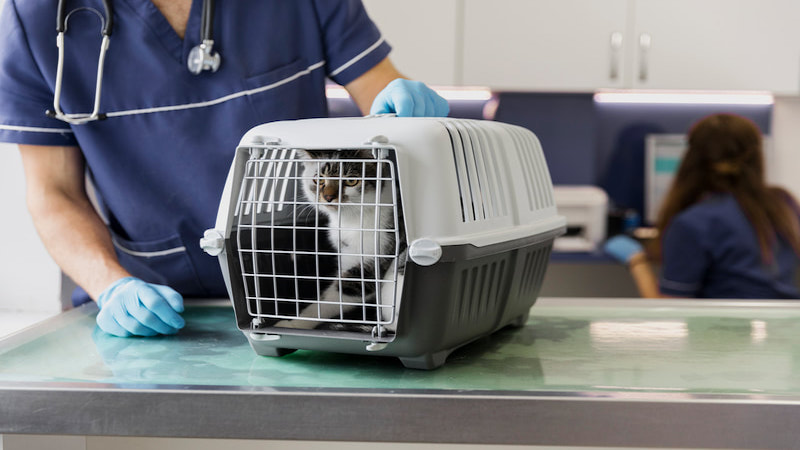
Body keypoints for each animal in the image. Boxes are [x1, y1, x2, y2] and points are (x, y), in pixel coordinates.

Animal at [274, 148, 404, 330]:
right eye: (319, 179)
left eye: (351, 181)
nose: (328, 197)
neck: (350, 219)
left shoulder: (378, 252)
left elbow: (334, 298)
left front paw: (294, 324)